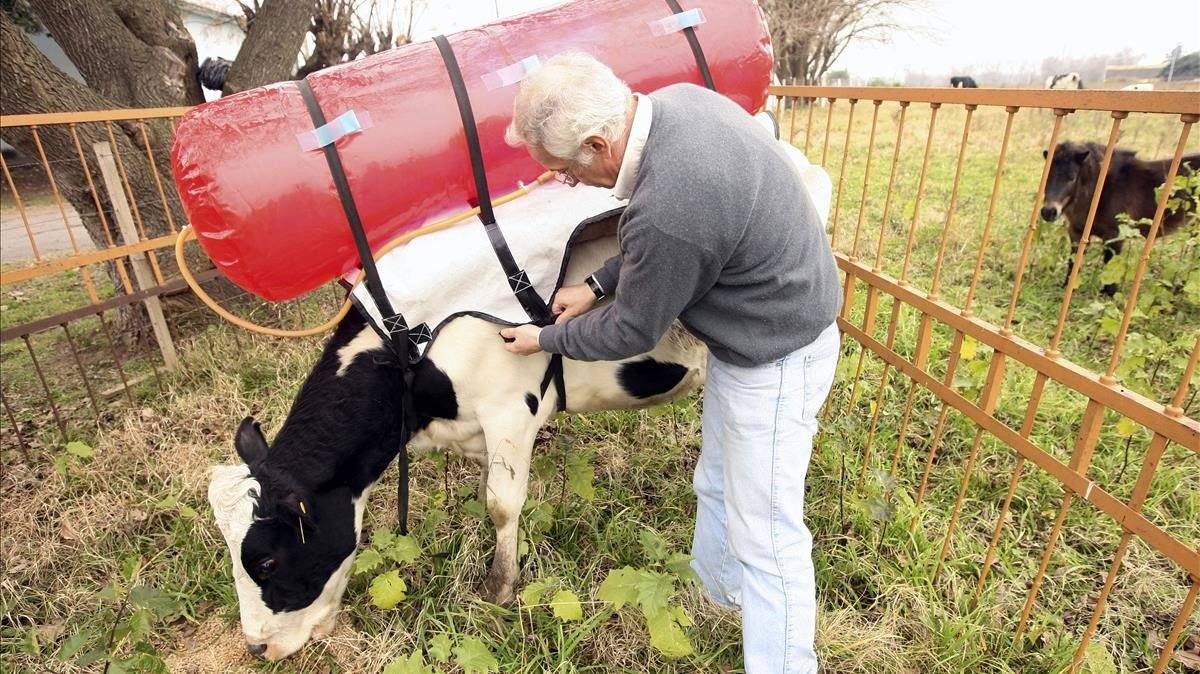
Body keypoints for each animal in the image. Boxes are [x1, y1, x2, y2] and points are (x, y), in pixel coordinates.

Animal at [207, 226, 705, 657]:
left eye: (266, 562)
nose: (256, 648)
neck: (409, 352)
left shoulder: (509, 410)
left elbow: (501, 504)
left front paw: (498, 592)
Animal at [1036, 138, 1195, 291]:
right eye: (1047, 175)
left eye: (1072, 177)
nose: (1048, 212)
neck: (1101, 190)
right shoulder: (1076, 231)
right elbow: (1073, 262)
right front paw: (1067, 287)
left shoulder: (1115, 236)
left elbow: (1110, 266)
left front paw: (1109, 294)